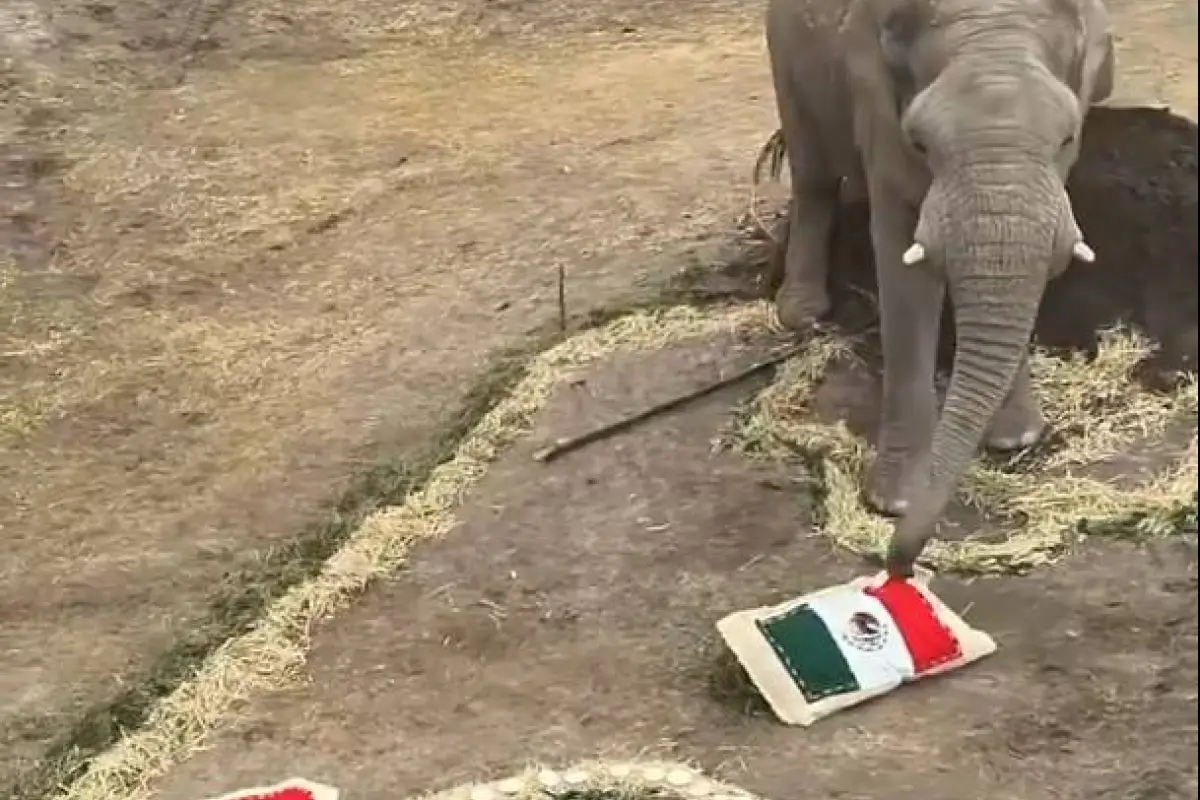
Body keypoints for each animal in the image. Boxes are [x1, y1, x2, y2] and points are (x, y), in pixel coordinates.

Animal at [764, 0, 1115, 576]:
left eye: (1067, 137)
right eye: (920, 142)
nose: (898, 565)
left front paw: (1015, 439)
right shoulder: (878, 101)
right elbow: (905, 274)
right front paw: (896, 502)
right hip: (782, 48)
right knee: (812, 169)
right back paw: (803, 313)